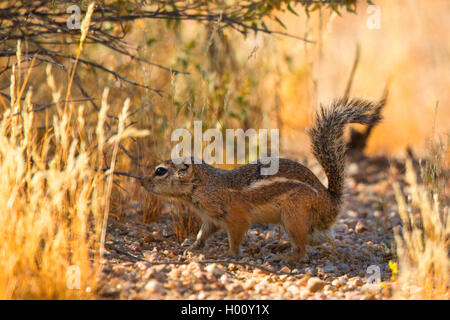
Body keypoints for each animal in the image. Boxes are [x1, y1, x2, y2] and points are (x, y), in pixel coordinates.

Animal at [142, 99, 384, 264]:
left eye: (160, 171)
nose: (143, 182)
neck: (205, 186)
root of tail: (331, 202)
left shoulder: (236, 217)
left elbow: (236, 236)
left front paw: (229, 253)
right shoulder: (211, 219)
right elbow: (203, 233)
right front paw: (192, 246)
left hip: (293, 215)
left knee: (303, 247)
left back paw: (285, 258)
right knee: (316, 239)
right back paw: (280, 245)